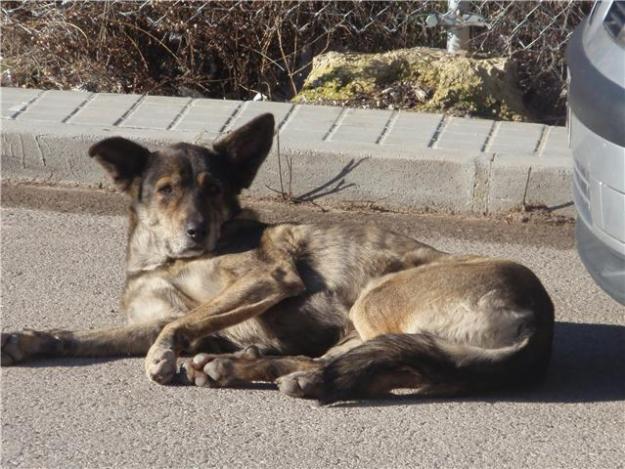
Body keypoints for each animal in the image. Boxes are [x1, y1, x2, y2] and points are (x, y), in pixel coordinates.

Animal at [1, 113, 556, 402]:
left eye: (214, 189)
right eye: (166, 190)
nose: (197, 231)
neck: (161, 260)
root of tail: (541, 322)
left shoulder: (270, 277)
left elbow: (182, 323)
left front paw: (163, 356)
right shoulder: (150, 317)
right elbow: (83, 335)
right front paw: (31, 340)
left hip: (375, 301)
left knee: (396, 367)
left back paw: (268, 372)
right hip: (364, 323)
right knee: (362, 361)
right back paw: (241, 367)